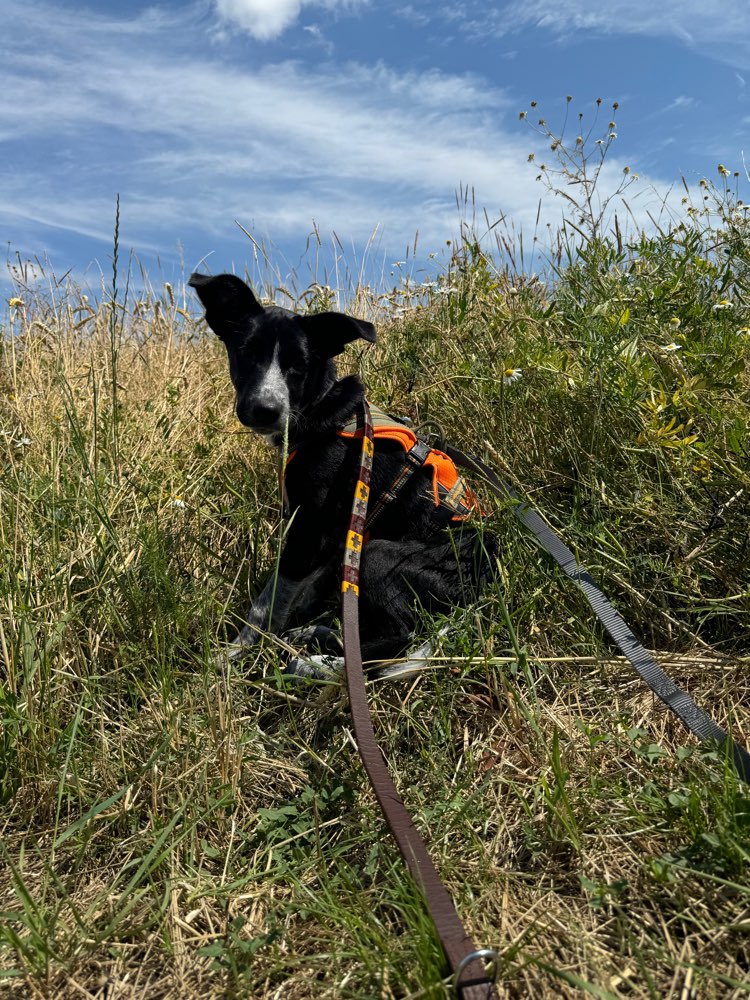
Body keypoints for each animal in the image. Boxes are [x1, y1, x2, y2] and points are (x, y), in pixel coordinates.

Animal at [189, 274, 500, 676]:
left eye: (300, 364)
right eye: (246, 353)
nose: (264, 410)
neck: (322, 410)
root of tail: (485, 579)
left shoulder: (308, 532)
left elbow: (268, 604)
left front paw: (233, 655)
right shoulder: (331, 539)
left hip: (379, 554)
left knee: (398, 637)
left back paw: (318, 665)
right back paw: (318, 636)